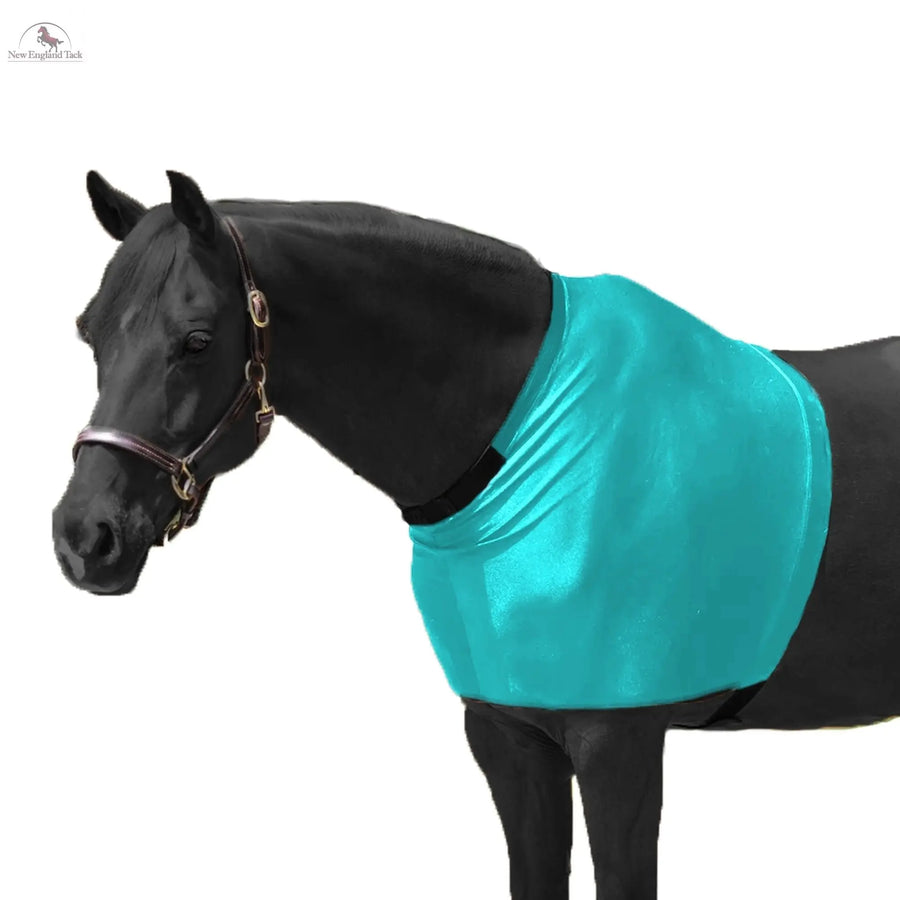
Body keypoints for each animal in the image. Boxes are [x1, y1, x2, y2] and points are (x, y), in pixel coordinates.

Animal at [52, 170, 900, 899]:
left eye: (196, 339)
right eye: (89, 332)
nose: (84, 536)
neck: (524, 440)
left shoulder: (619, 744)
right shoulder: (508, 734)